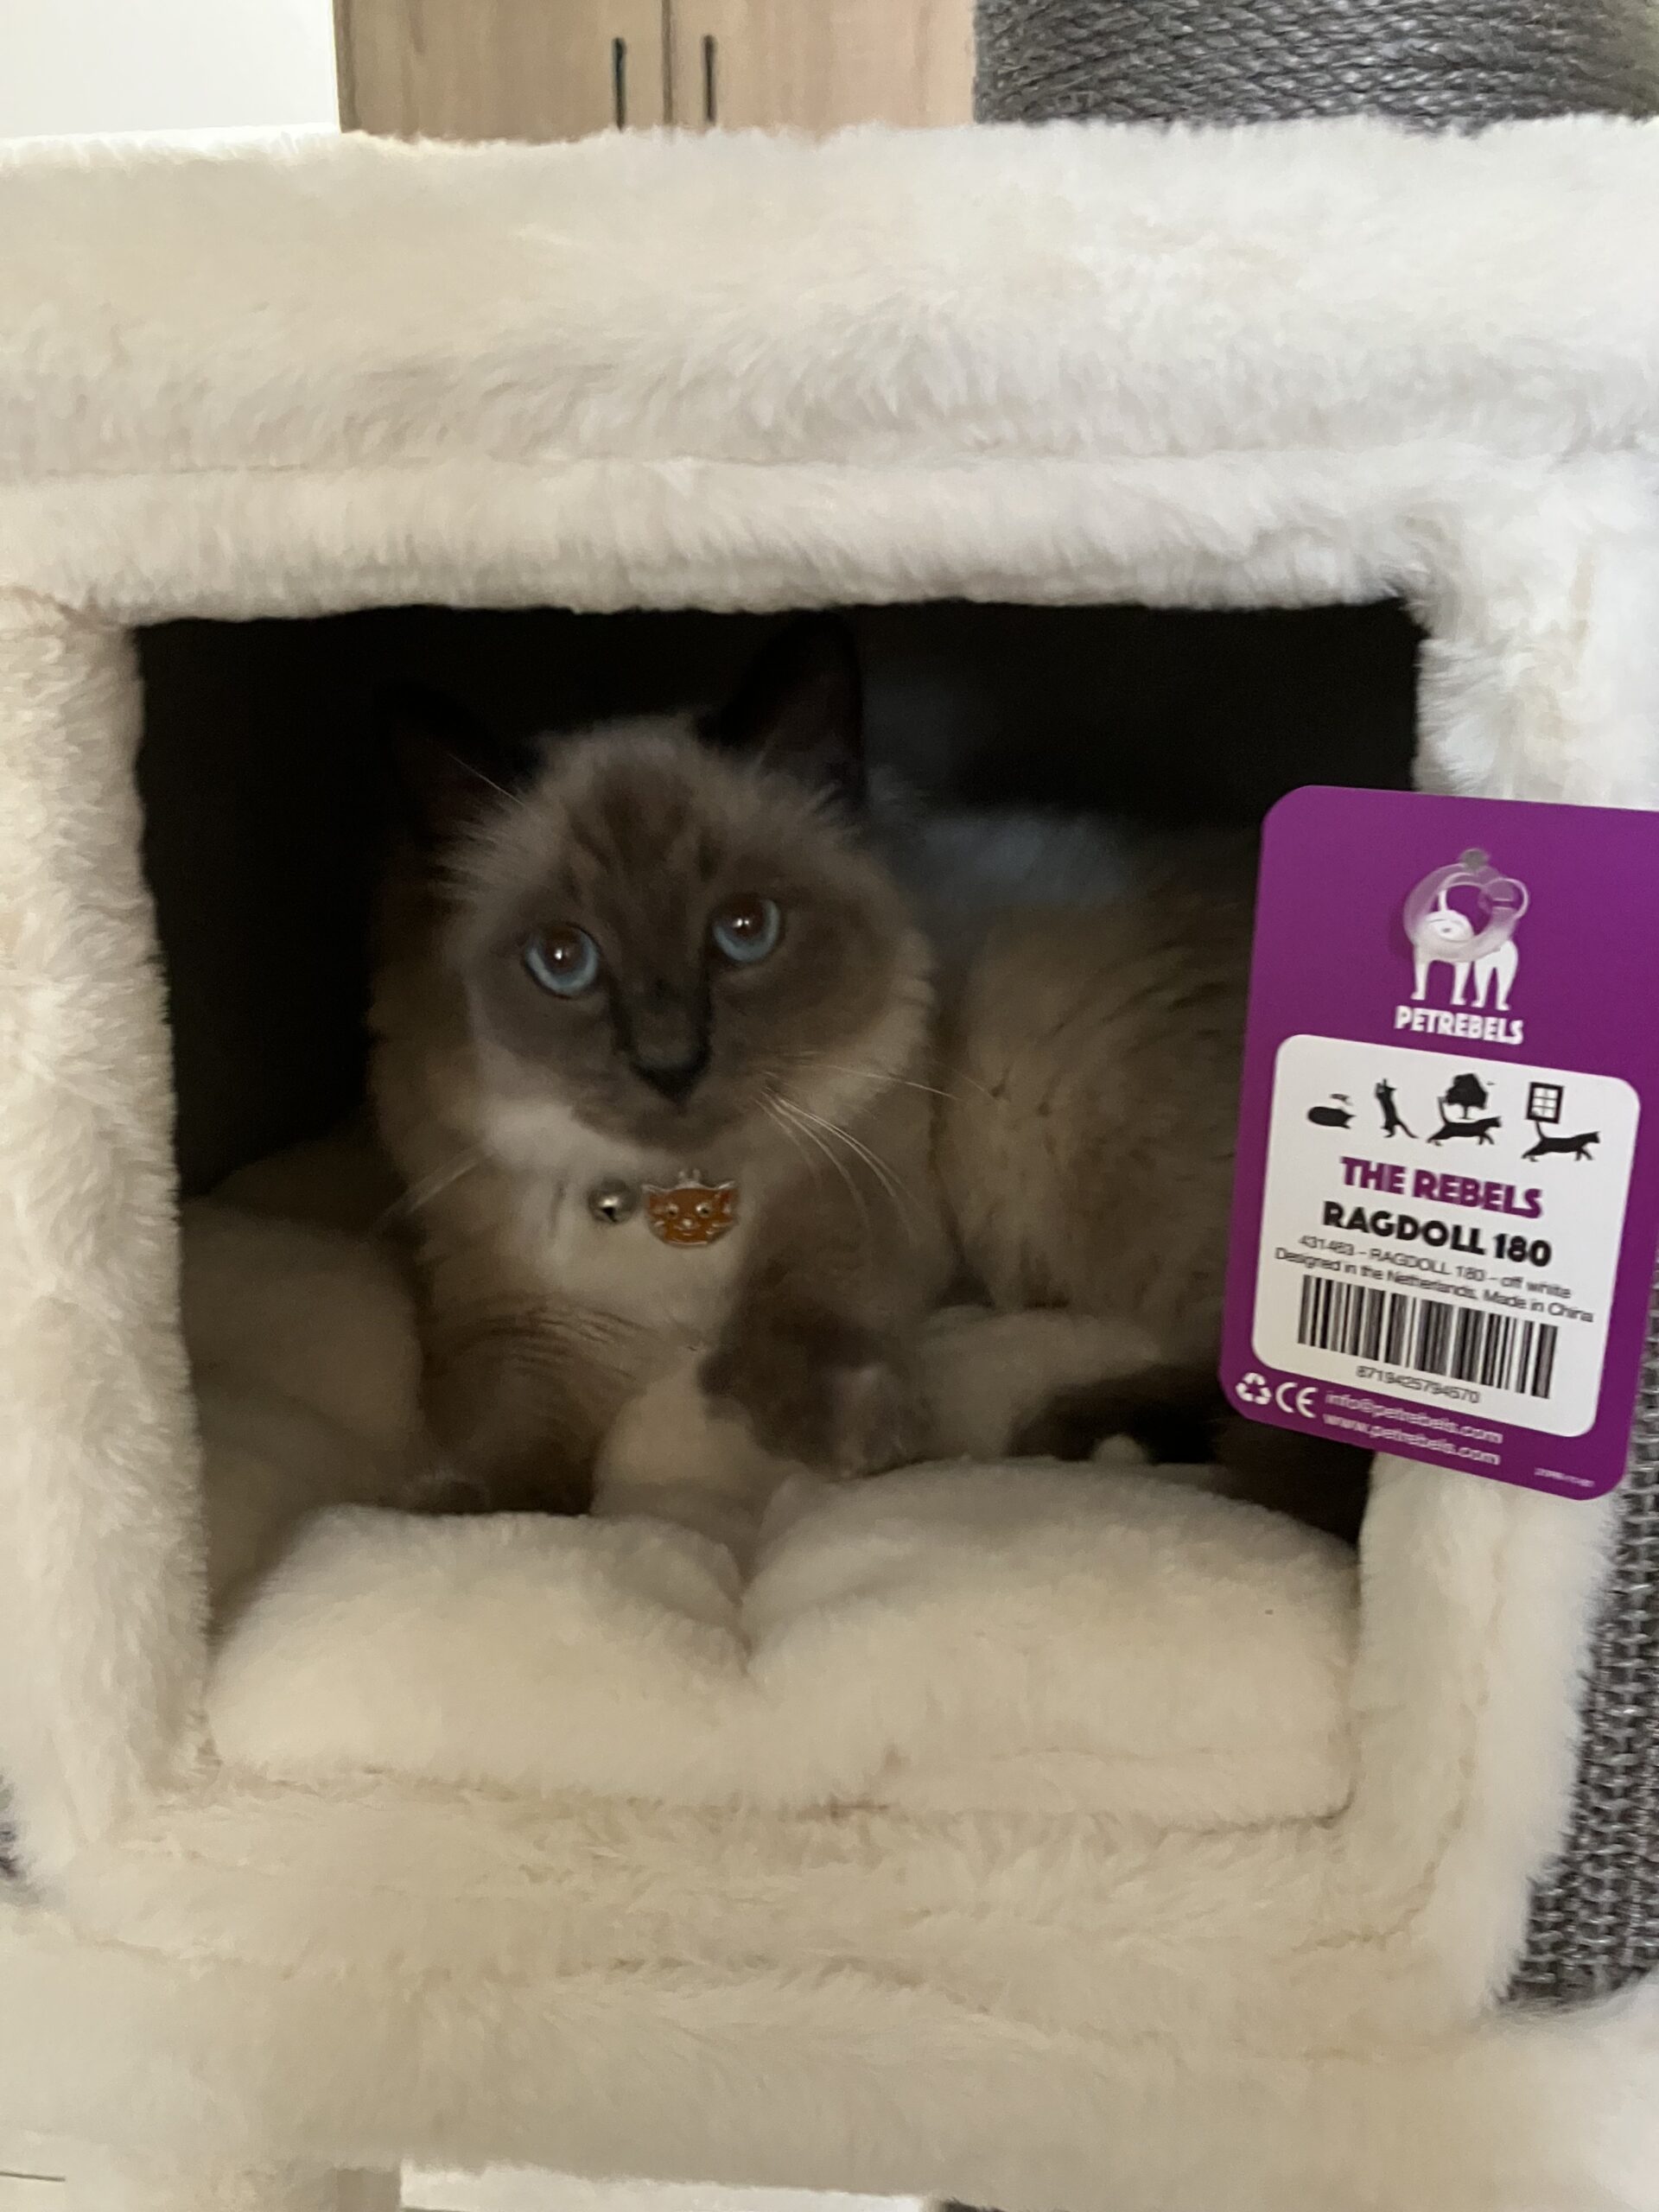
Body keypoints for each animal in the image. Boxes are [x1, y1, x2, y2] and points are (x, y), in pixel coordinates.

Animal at [369, 620, 953, 1551]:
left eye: (746, 930)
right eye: (563, 960)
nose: (671, 1065)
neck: (675, 1192)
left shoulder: (859, 1181)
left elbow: (807, 1295)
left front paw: (846, 1431)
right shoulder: (528, 1323)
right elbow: (513, 1449)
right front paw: (458, 1529)